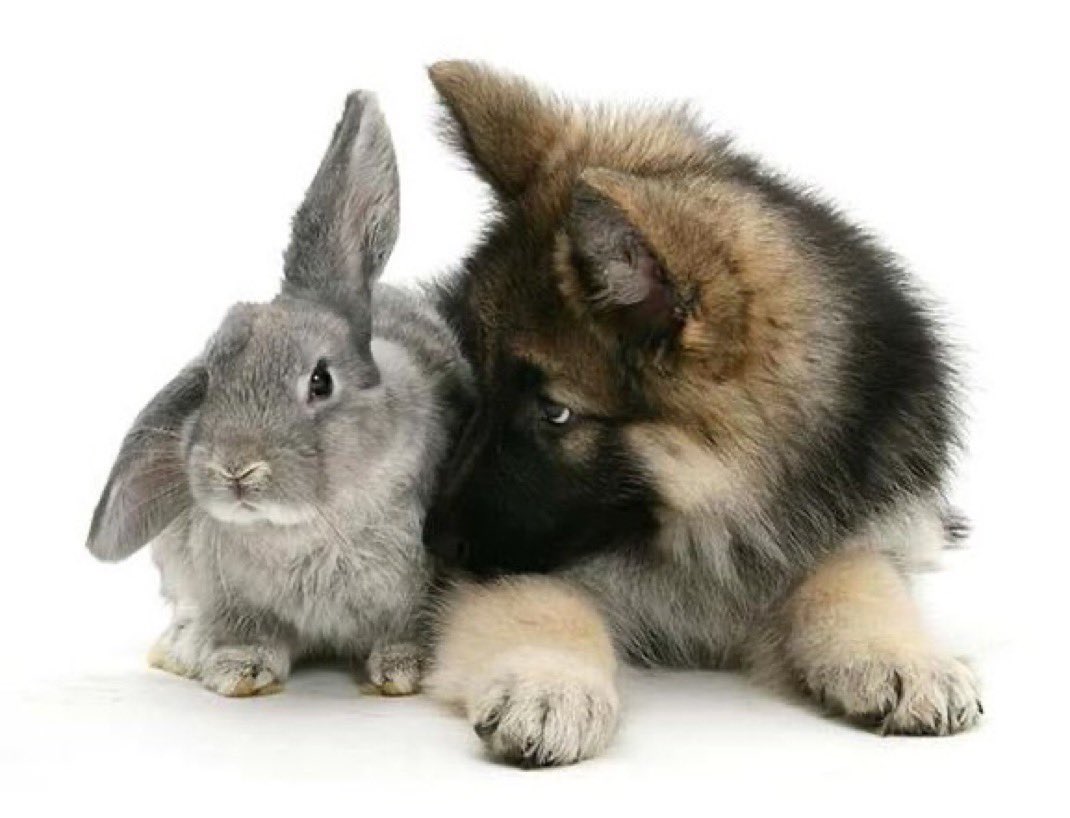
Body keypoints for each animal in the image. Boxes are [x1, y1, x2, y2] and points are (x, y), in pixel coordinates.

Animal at [85, 91, 472, 698]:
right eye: (209, 377)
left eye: (321, 380)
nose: (236, 470)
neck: (308, 526)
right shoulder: (231, 595)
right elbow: (248, 631)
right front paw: (235, 670)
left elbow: (408, 627)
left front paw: (404, 669)